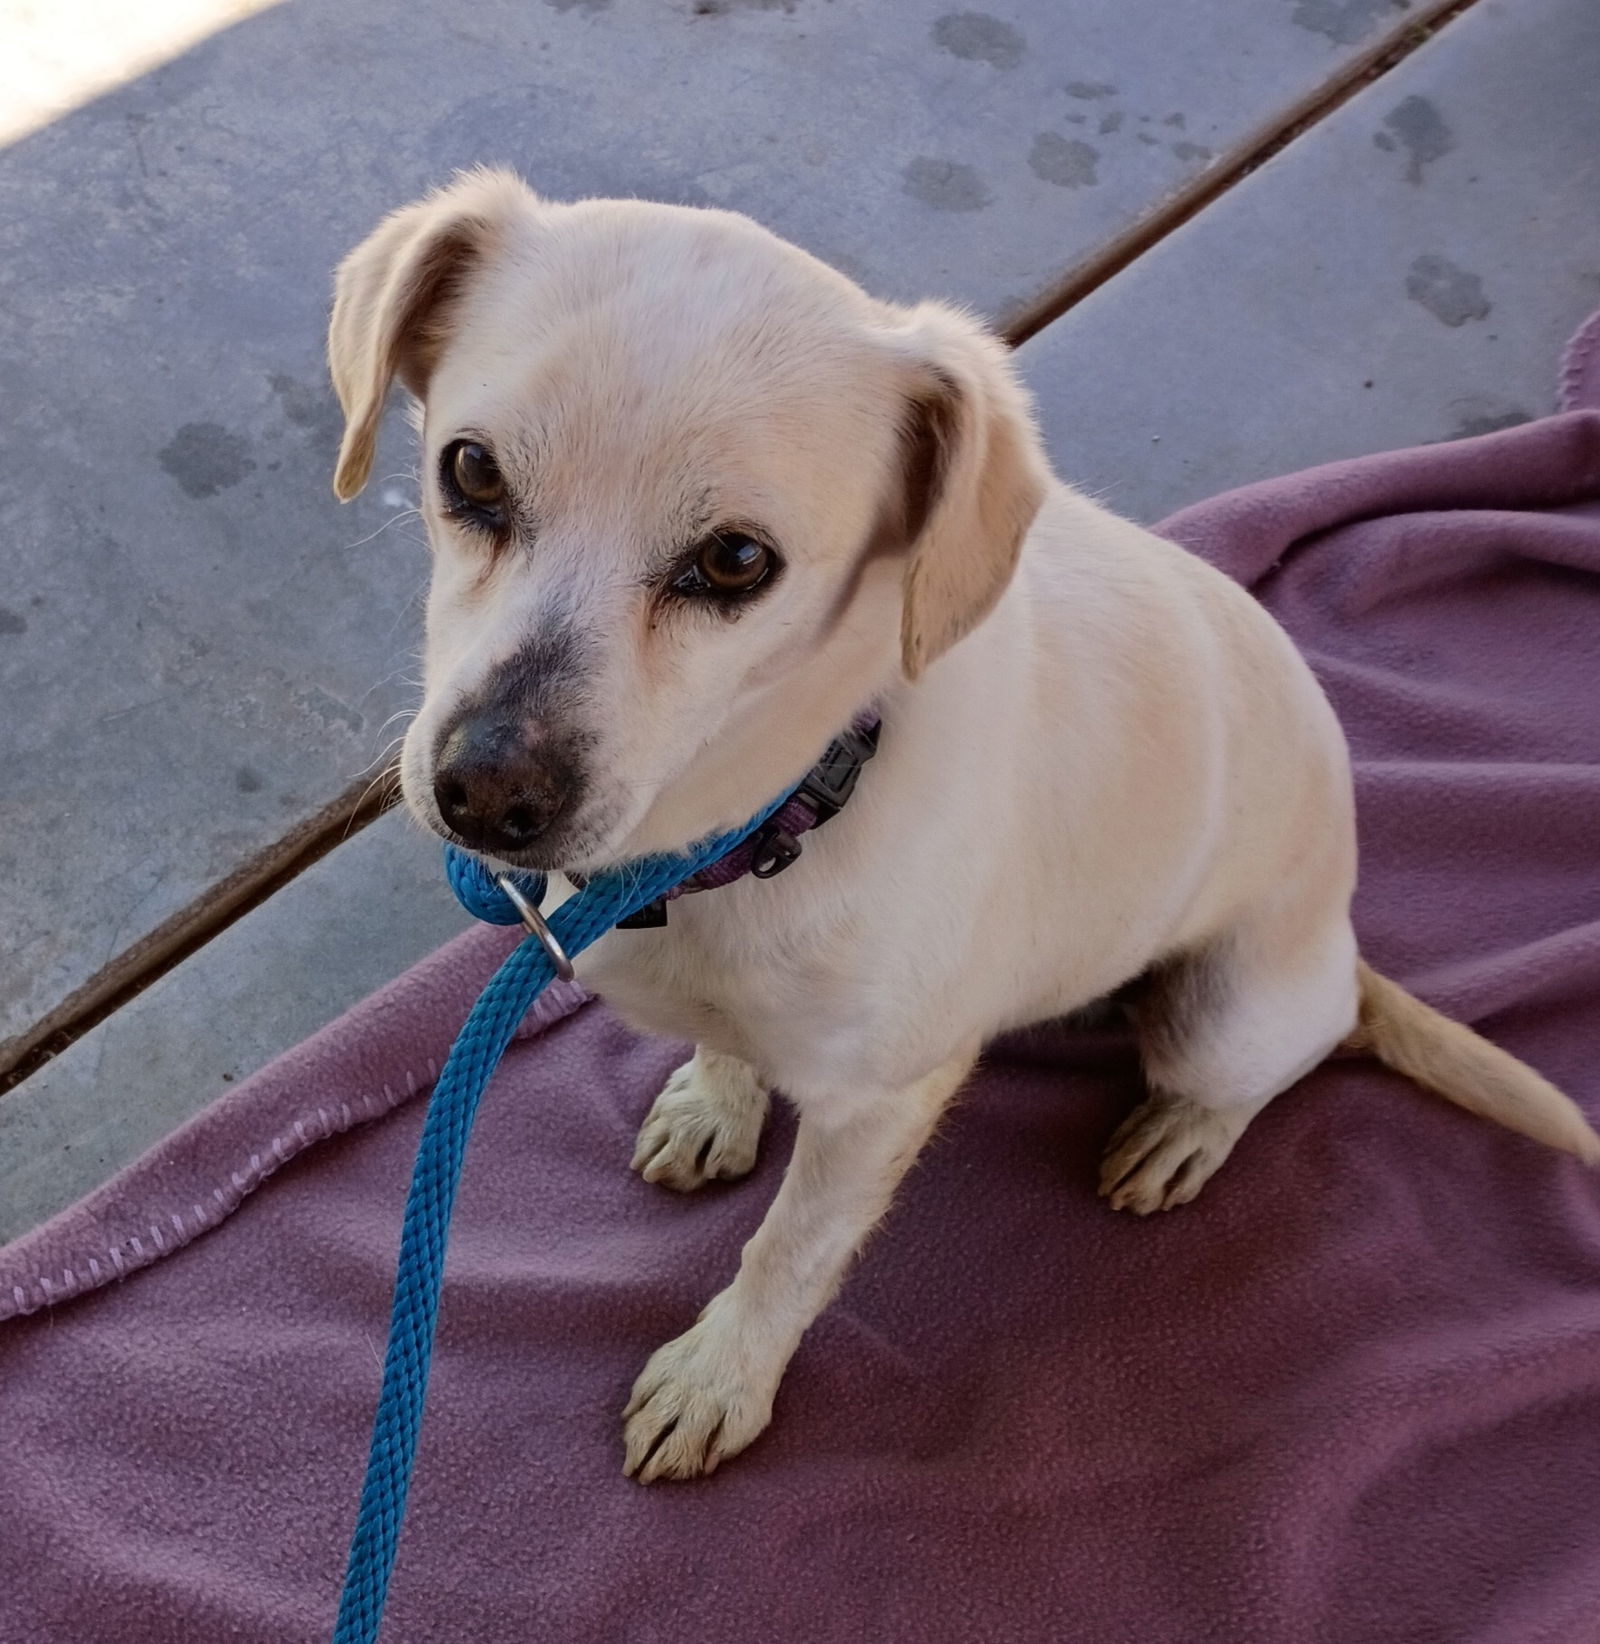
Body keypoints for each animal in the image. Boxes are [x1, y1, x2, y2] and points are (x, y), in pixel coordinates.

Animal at [327, 173, 1598, 1486]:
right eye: (471, 472)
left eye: (734, 561)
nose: (486, 795)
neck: (753, 827)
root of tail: (1343, 945)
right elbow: (731, 1057)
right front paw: (717, 1100)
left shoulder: (879, 1110)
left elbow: (788, 1255)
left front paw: (718, 1379)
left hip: (1228, 1019)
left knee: (1292, 1052)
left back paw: (1185, 1132)